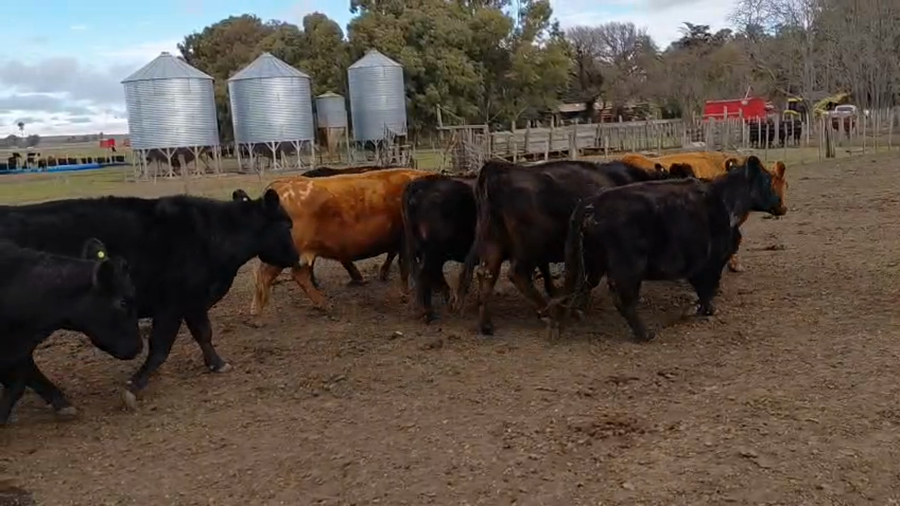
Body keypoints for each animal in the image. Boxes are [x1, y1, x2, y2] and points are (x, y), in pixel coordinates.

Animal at [251, 168, 433, 315]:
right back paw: (256, 311)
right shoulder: (405, 240)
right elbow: (404, 265)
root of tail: (277, 186)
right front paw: (405, 294)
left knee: (298, 275)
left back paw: (323, 304)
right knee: (266, 275)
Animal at [451, 159, 695, 335]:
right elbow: (590, 280)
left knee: (486, 275)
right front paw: (577, 305)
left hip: (492, 242)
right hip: (528, 247)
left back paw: (486, 325)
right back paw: (548, 311)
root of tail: (499, 170)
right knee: (517, 274)